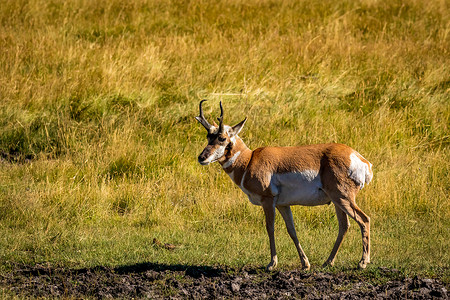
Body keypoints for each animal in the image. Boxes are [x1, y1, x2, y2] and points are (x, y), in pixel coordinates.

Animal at [195, 100, 374, 270]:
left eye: (222, 138)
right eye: (208, 137)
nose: (201, 158)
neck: (249, 160)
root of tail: (360, 159)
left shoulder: (268, 201)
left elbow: (270, 228)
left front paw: (271, 264)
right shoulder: (283, 205)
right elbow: (292, 230)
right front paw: (305, 264)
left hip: (343, 197)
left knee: (364, 219)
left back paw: (362, 262)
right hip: (338, 201)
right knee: (344, 226)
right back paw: (328, 262)